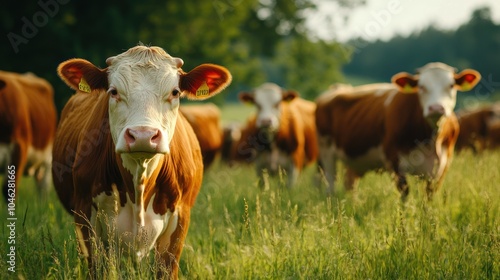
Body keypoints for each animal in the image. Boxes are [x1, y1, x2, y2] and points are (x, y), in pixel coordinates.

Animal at [316, 62, 480, 200]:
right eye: (421, 86)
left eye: (451, 85)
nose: (436, 108)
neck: (430, 142)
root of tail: (338, 89)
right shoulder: (394, 160)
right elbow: (405, 194)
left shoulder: (442, 165)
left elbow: (429, 197)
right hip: (326, 152)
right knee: (330, 182)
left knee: (350, 182)